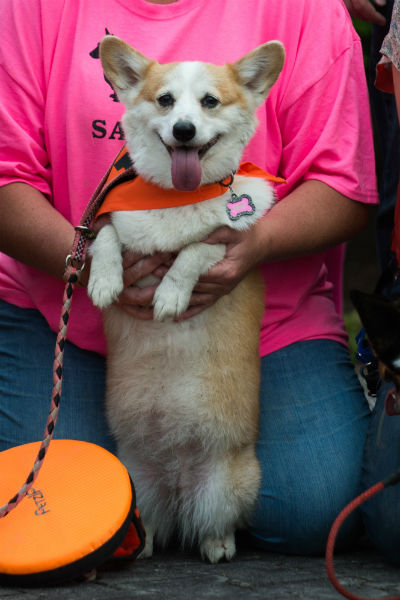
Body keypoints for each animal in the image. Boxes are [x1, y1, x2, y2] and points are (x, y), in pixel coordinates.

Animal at [87, 36, 284, 564]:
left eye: (210, 102)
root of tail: (176, 483)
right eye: (165, 101)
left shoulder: (228, 245)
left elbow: (194, 251)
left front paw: (170, 296)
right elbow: (105, 238)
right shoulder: (109, 223)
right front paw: (104, 283)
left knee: (216, 524)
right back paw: (142, 544)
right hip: (133, 482)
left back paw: (217, 544)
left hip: (230, 483)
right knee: (150, 526)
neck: (175, 197)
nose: (183, 129)